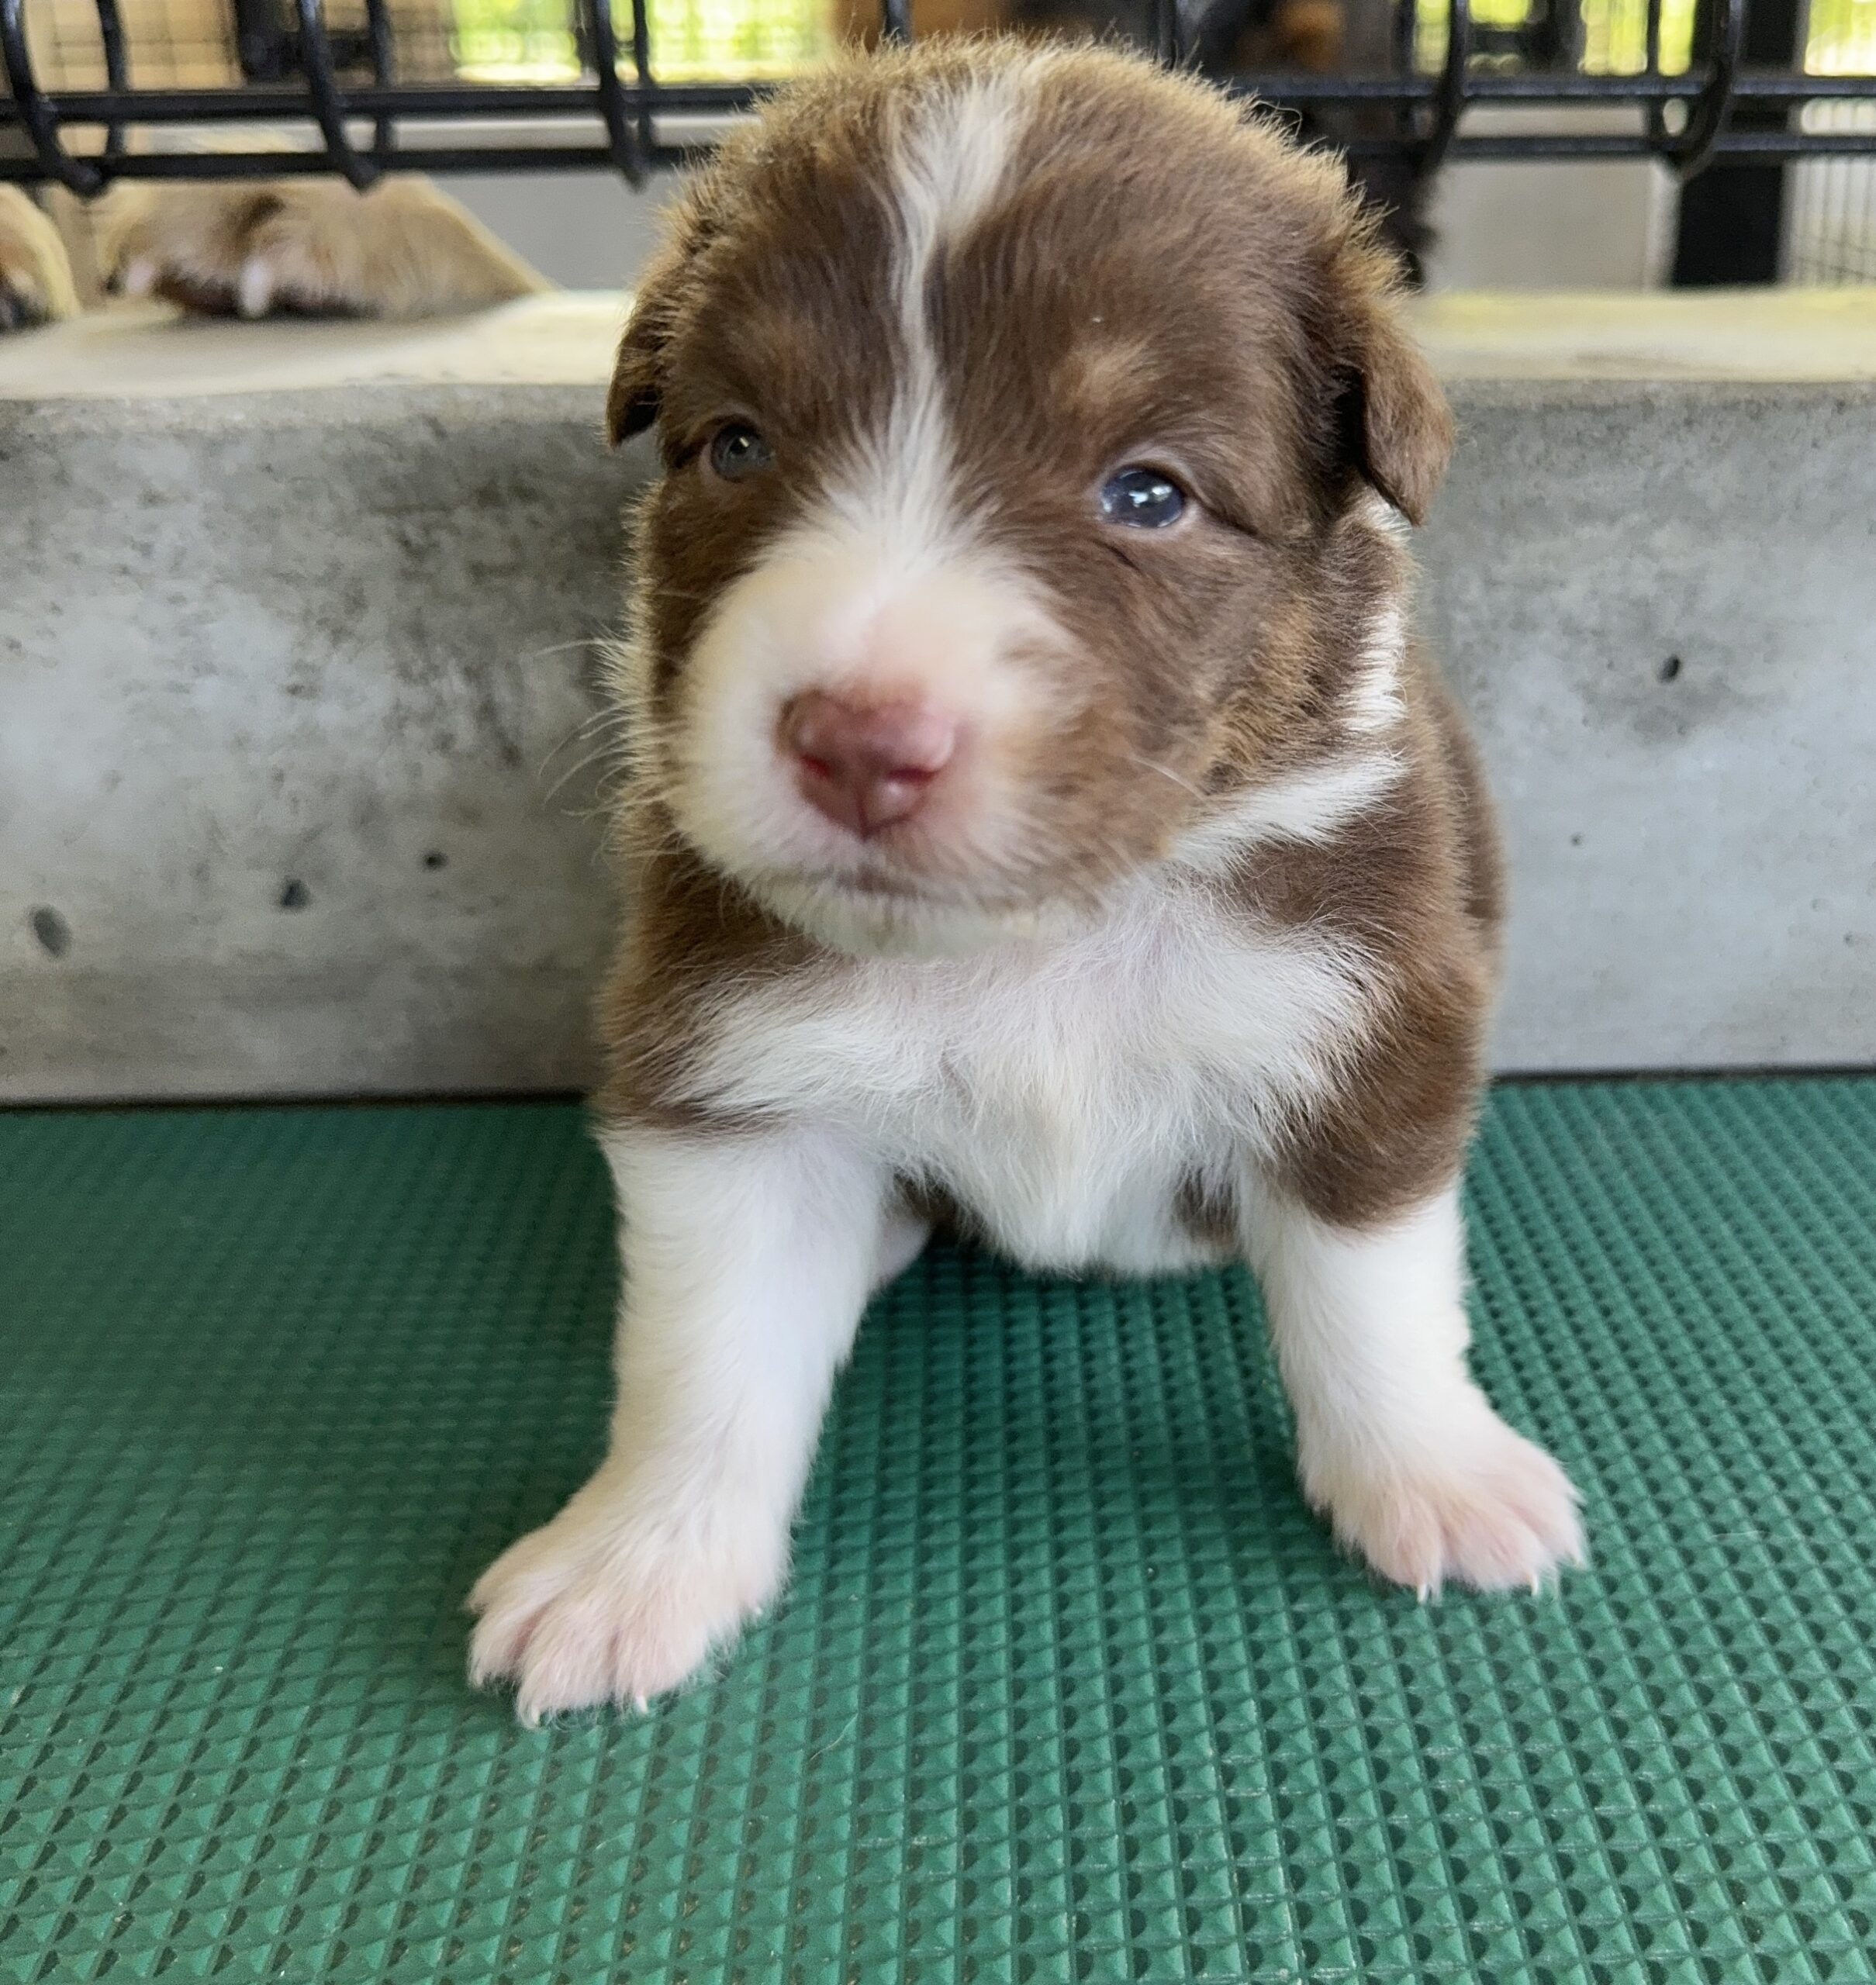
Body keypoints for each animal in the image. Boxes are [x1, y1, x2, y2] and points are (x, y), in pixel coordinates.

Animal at [456, 38, 1580, 1731]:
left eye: (1148, 494)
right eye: (737, 445)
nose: (859, 741)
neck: (1037, 940)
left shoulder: (1367, 1018)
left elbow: (1373, 1292)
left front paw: (1439, 1482)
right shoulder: (725, 1068)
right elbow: (703, 1354)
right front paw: (631, 1565)